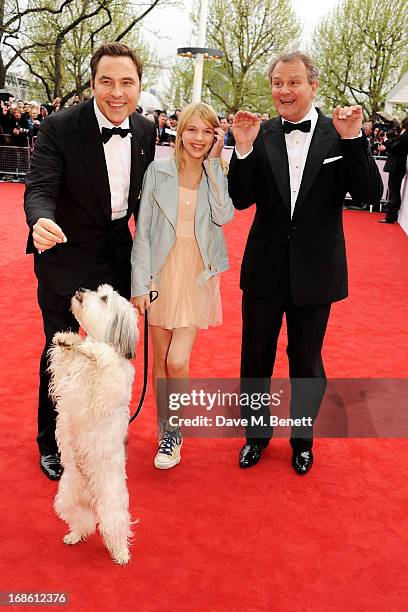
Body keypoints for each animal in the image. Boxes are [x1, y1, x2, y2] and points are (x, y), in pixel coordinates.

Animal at [48, 284, 139, 568]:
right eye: (100, 291)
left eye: (104, 298)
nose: (80, 289)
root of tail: (90, 493)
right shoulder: (65, 376)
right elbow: (63, 360)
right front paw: (67, 340)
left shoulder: (110, 384)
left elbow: (105, 358)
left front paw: (95, 351)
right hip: (67, 497)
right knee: (83, 521)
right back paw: (74, 536)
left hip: (111, 503)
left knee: (114, 527)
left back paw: (121, 554)